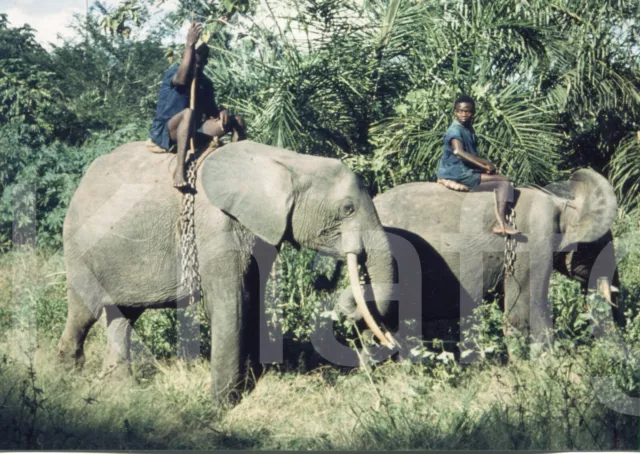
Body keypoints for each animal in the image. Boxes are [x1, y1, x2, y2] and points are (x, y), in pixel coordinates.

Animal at [56, 140, 396, 402]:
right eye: (347, 209)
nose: (349, 308)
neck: (288, 162)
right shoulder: (215, 226)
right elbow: (231, 304)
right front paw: (220, 406)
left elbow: (254, 300)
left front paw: (251, 384)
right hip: (78, 247)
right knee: (84, 311)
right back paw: (70, 378)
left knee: (123, 315)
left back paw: (119, 387)